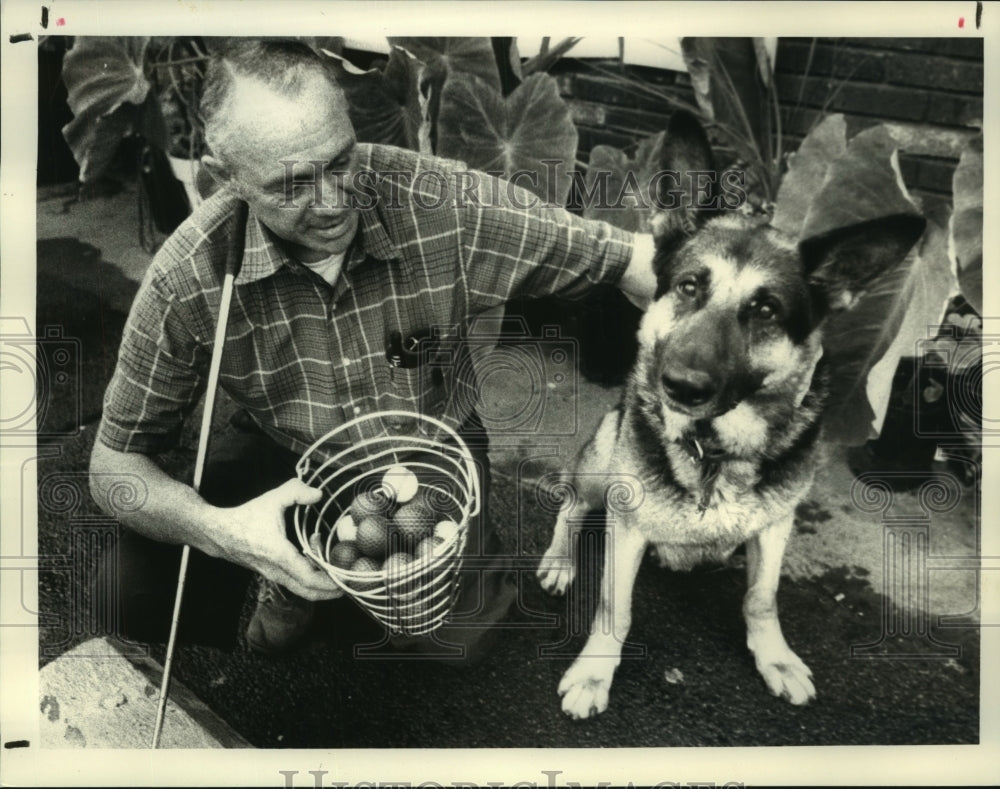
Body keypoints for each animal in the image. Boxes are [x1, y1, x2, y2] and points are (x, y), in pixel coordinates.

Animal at [540, 112, 920, 720]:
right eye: (689, 286)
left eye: (765, 310)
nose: (680, 386)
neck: (714, 450)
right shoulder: (627, 526)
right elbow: (613, 607)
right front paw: (595, 672)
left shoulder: (774, 526)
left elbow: (762, 599)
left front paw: (775, 658)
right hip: (601, 467)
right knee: (572, 506)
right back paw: (559, 559)